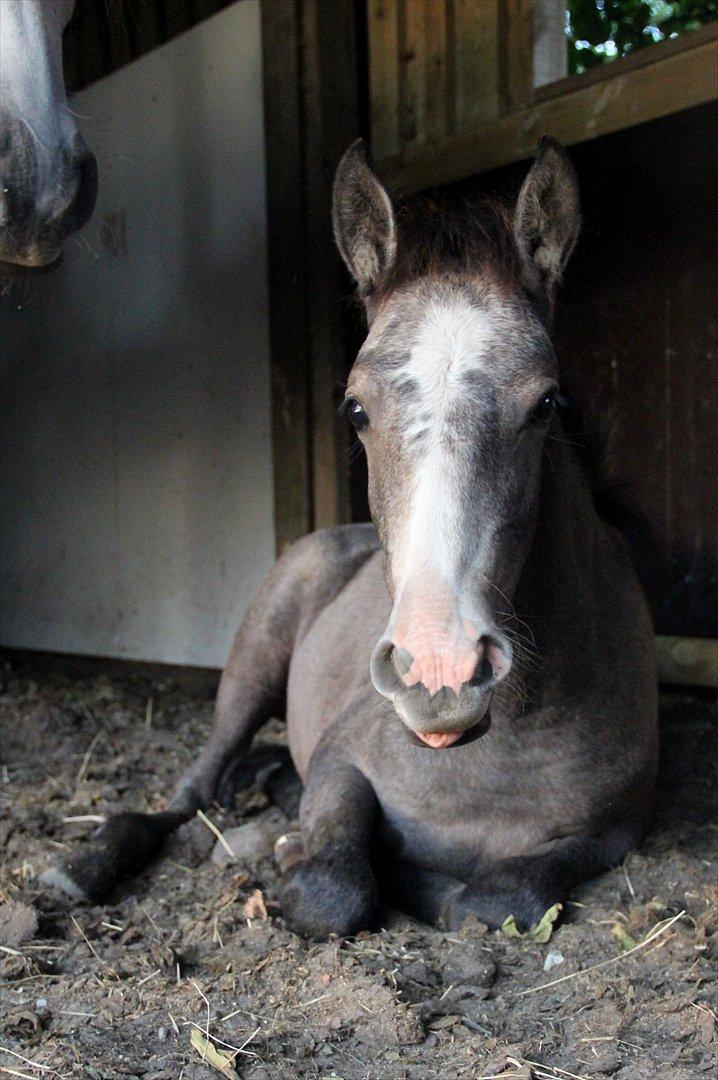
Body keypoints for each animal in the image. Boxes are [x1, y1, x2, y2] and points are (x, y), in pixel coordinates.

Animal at [49, 137, 656, 937]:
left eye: (547, 403)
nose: (439, 673)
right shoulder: (342, 764)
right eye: (355, 409)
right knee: (187, 795)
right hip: (251, 670)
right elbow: (334, 891)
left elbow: (493, 900)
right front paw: (312, 855)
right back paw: (85, 866)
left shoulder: (617, 830)